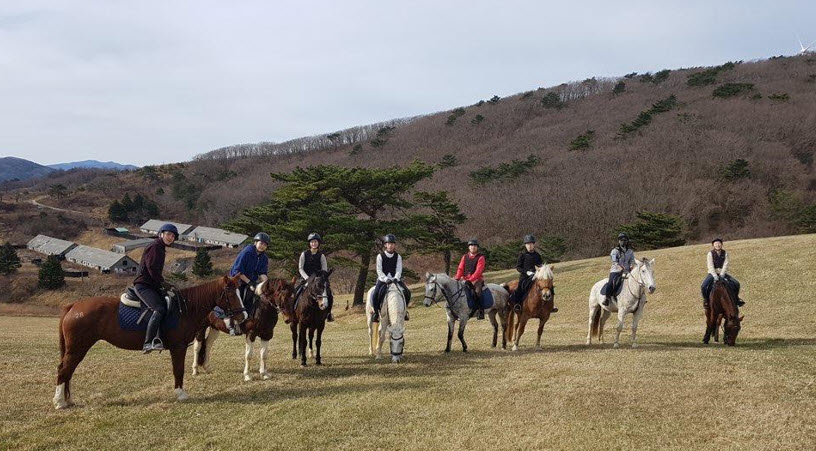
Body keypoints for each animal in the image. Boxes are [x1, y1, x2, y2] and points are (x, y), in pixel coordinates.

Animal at [53, 276, 245, 410]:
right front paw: (180, 393)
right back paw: (60, 402)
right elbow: (178, 370)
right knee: (64, 371)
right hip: (78, 348)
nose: (243, 315)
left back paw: (67, 399)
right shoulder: (178, 347)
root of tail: (73, 306)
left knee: (67, 371)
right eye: (230, 294)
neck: (184, 309)